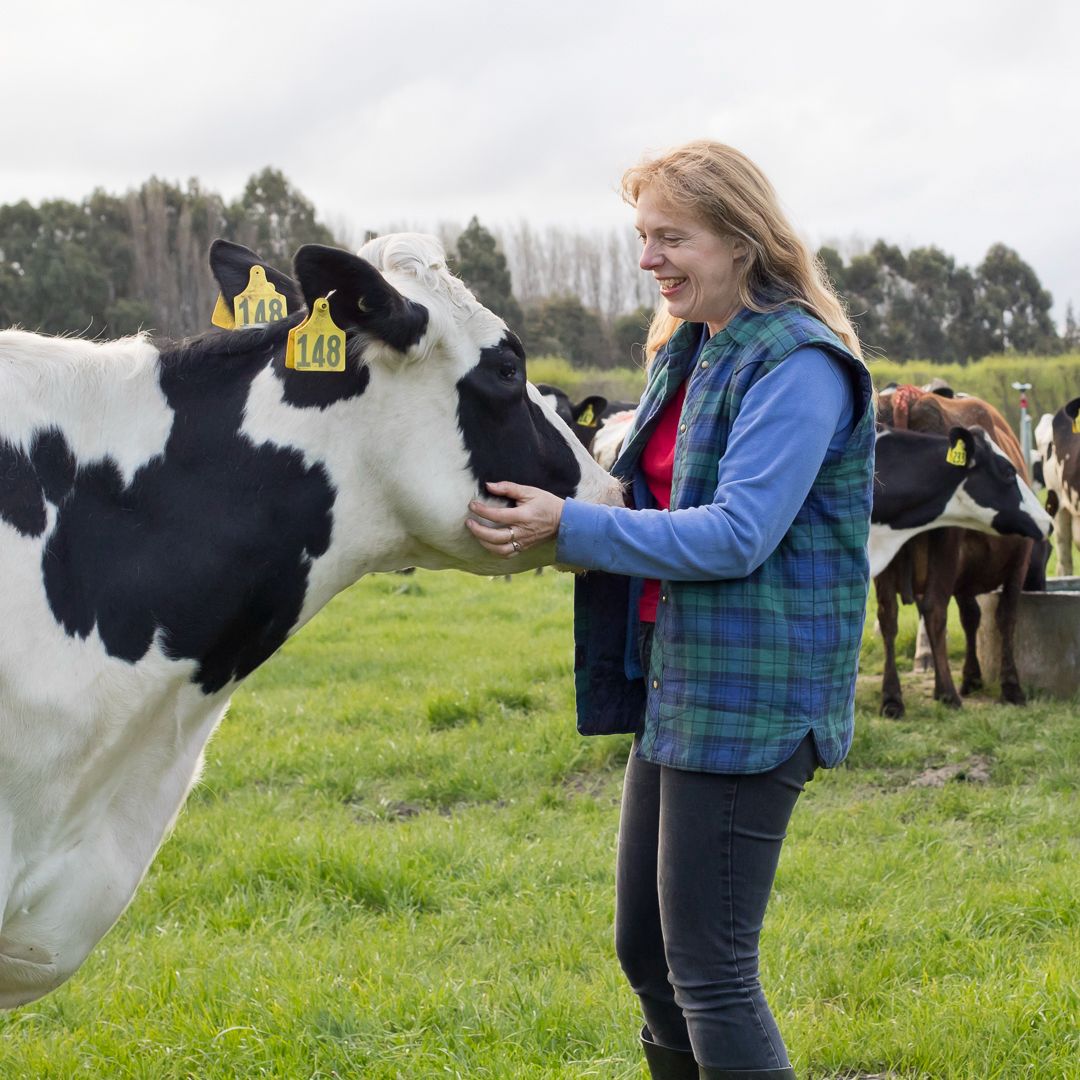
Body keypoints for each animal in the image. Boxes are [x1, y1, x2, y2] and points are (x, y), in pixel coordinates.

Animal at [874, 385, 1046, 717]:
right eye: (1008, 472)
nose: (1045, 522)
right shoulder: (1016, 562)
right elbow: (1005, 617)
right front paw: (1010, 687)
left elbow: (971, 617)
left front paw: (971, 677)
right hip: (946, 542)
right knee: (934, 610)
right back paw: (947, 692)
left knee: (889, 615)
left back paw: (892, 698)